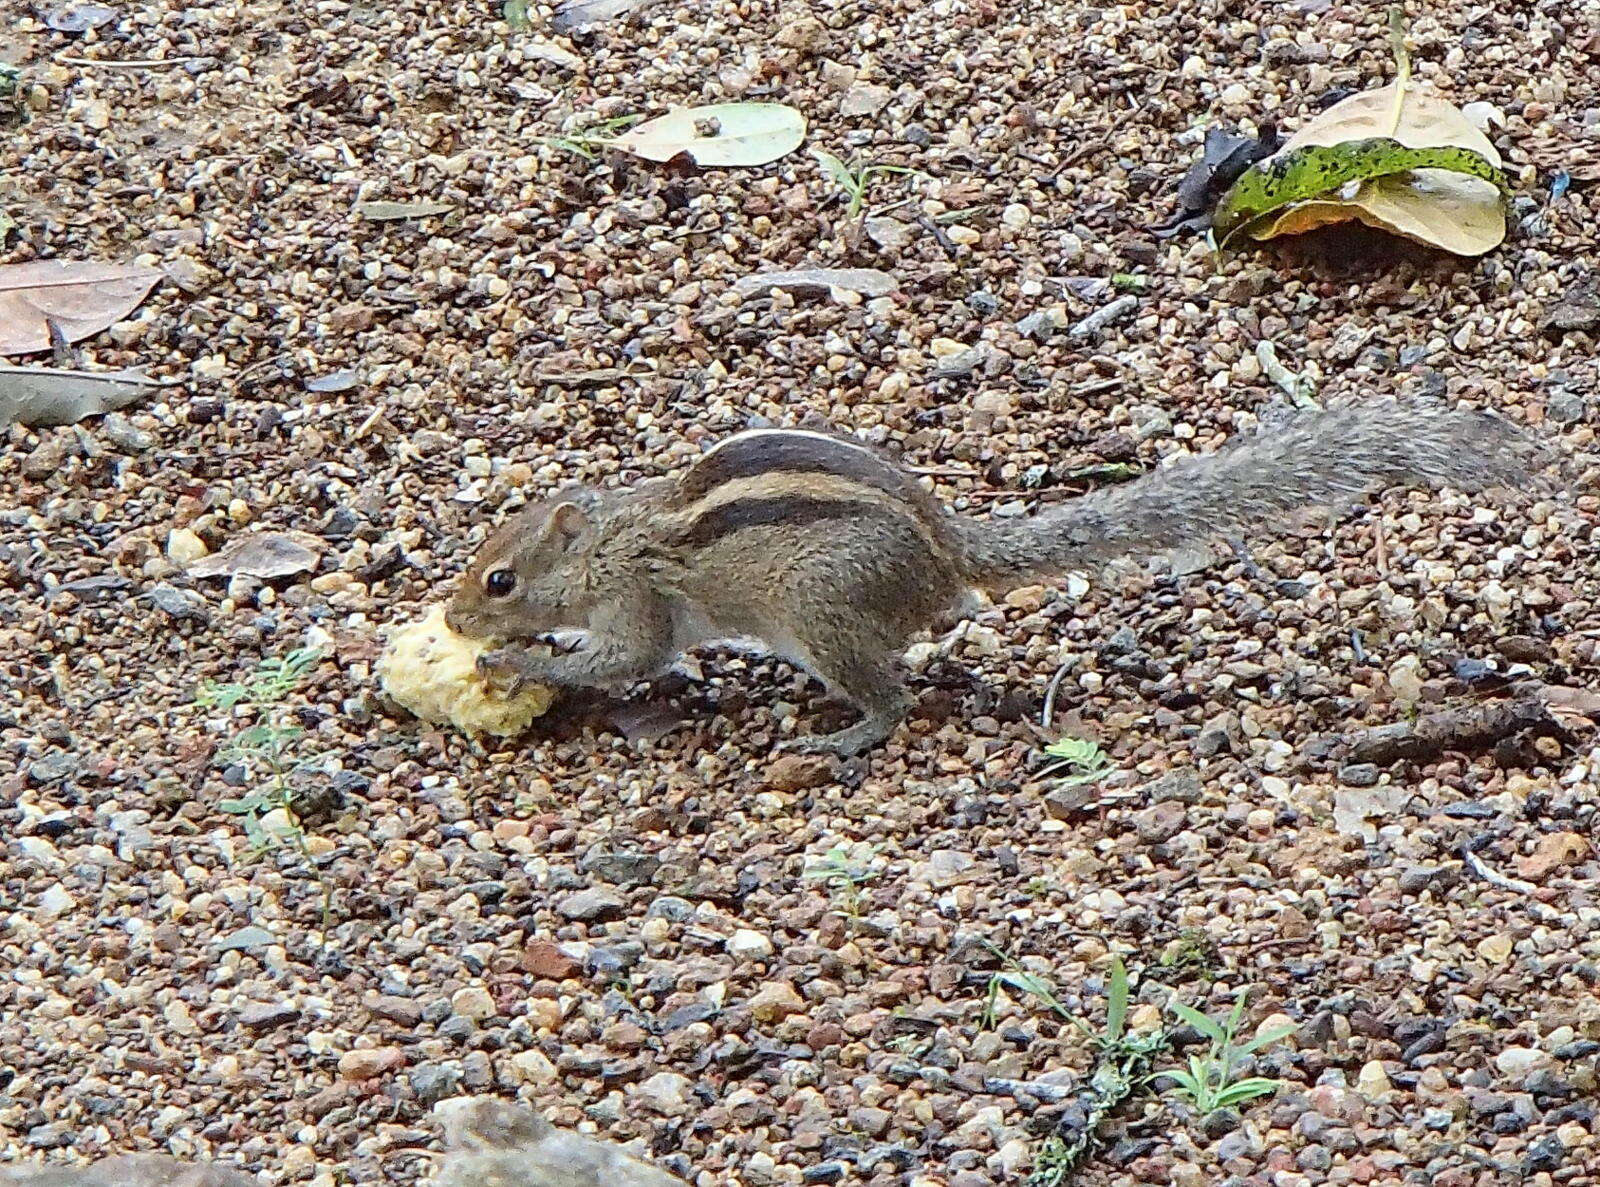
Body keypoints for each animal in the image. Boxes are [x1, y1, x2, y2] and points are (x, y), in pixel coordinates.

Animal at [444, 399, 1542, 751]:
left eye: (498, 580)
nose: (451, 624)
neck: (607, 537)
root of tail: (947, 550)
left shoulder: (639, 600)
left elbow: (622, 660)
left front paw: (518, 668)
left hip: (823, 616)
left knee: (892, 697)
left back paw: (846, 734)